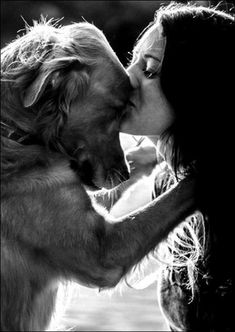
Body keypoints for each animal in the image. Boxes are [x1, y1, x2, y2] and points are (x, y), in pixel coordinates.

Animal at [0, 19, 196, 330]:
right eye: (118, 110)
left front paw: (150, 153)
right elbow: (181, 193)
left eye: (127, 110)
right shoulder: (103, 253)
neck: (18, 135)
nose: (123, 175)